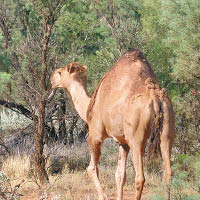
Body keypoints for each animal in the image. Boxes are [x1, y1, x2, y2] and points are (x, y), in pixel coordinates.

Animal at [49, 48, 175, 200]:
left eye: (60, 72)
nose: (51, 78)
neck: (89, 107)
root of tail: (155, 98)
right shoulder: (122, 142)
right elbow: (120, 175)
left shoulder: (95, 135)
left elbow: (91, 169)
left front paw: (103, 196)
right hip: (167, 129)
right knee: (168, 173)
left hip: (137, 137)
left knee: (140, 177)